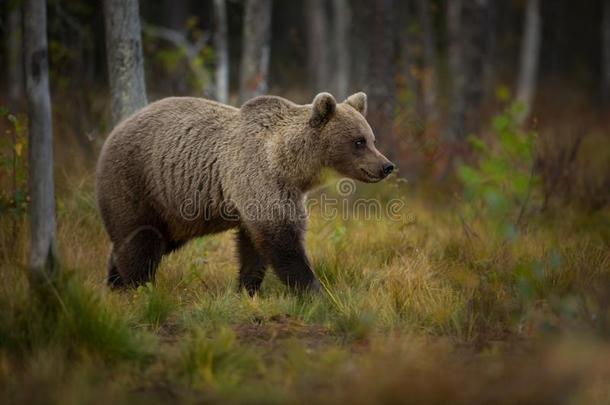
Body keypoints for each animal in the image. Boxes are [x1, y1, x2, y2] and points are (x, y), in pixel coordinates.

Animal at [94, 91, 390, 294]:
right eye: (359, 141)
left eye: (372, 139)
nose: (386, 166)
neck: (288, 163)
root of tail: (114, 131)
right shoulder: (258, 177)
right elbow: (283, 241)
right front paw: (314, 291)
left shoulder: (275, 193)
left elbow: (253, 247)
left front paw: (247, 289)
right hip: (136, 182)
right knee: (141, 239)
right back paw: (136, 287)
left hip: (171, 211)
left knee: (147, 240)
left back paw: (114, 283)